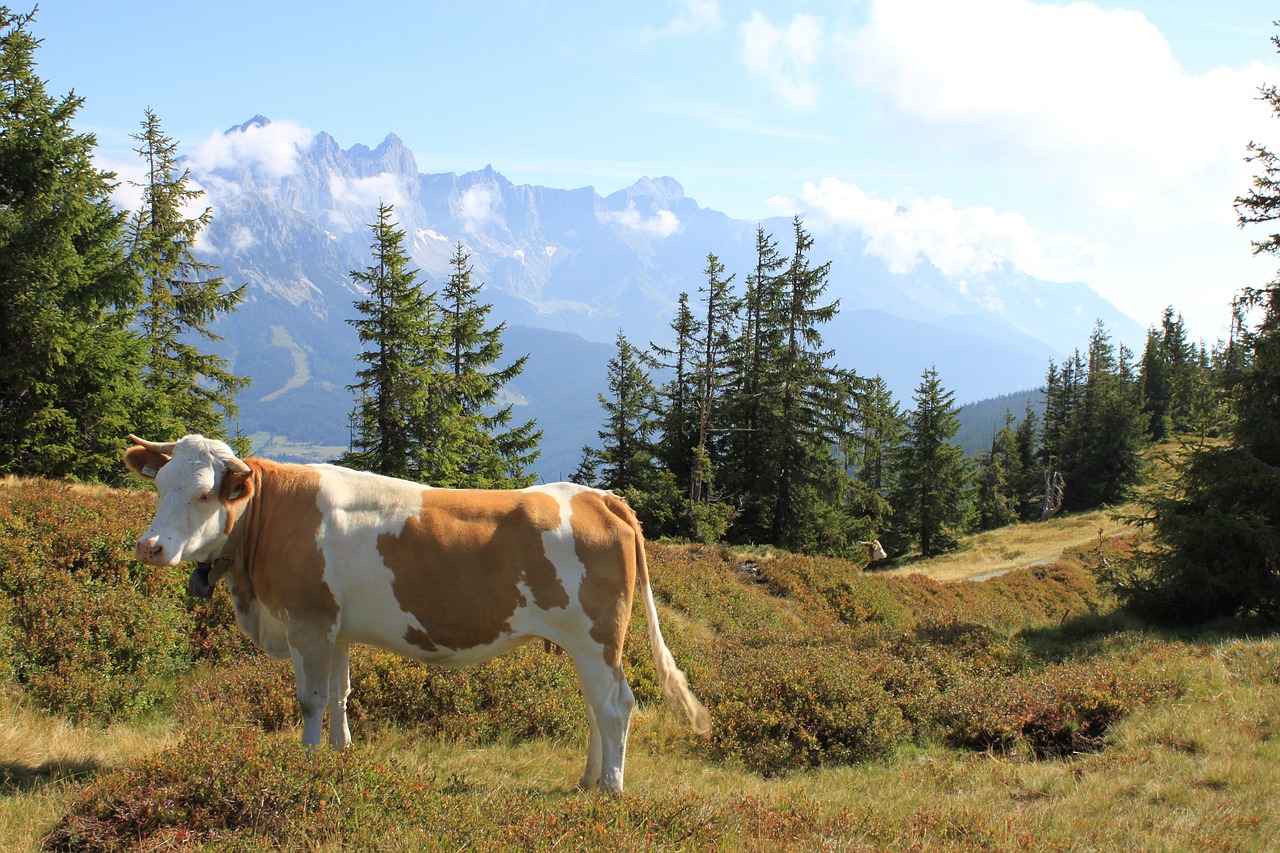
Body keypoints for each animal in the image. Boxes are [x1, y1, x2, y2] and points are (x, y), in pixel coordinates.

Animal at [123, 432, 711, 788]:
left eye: (204, 494)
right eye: (159, 484)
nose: (149, 547)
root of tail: (599, 496)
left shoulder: (307, 619)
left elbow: (310, 700)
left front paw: (307, 767)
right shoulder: (336, 627)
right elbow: (339, 694)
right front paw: (340, 758)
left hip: (597, 636)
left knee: (616, 706)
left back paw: (609, 788)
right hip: (582, 643)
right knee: (596, 706)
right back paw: (589, 778)